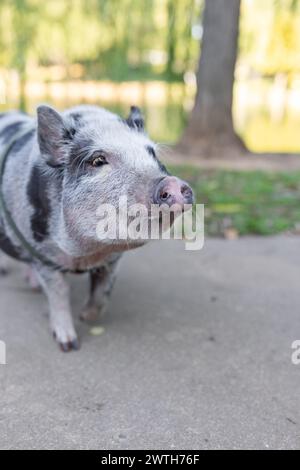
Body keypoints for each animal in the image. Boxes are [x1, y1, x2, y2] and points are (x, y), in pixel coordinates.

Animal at [0, 104, 193, 350]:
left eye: (152, 153)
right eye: (98, 160)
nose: (173, 183)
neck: (87, 253)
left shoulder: (113, 260)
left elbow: (103, 292)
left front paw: (86, 317)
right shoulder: (44, 254)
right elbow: (58, 294)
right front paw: (69, 345)